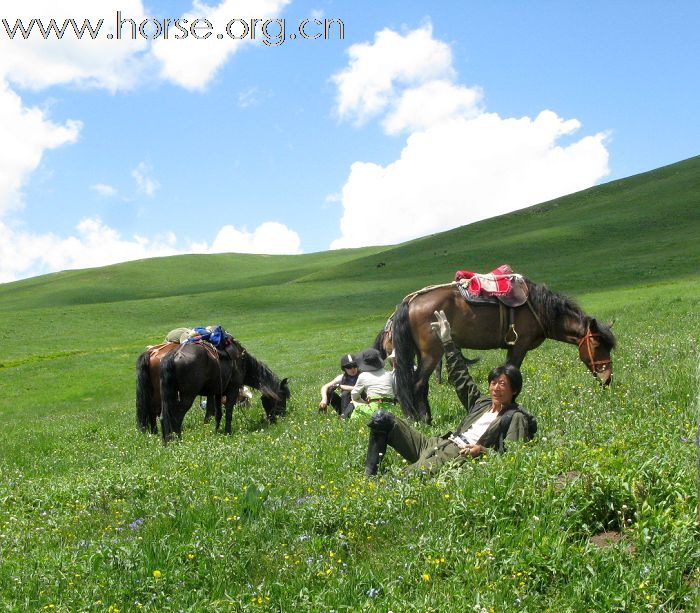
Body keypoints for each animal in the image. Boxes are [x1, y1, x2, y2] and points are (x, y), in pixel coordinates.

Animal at [392, 280, 616, 424]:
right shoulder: (519, 346)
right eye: (597, 345)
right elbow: (512, 371)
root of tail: (411, 302)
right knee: (418, 384)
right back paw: (423, 421)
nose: (607, 379)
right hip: (432, 353)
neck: (539, 309)